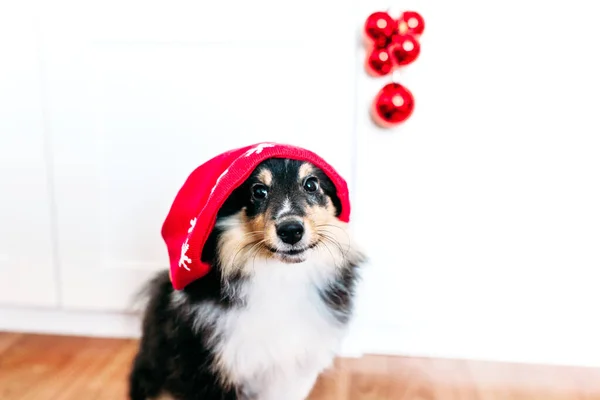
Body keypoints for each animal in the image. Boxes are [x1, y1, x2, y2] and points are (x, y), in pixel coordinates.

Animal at [130, 158, 366, 398]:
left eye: (311, 184)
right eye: (258, 191)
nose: (291, 230)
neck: (281, 276)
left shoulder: (293, 374)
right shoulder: (208, 372)